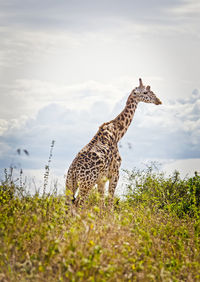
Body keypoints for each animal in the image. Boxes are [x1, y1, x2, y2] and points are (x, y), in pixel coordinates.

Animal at [65, 79, 161, 209]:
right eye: (145, 92)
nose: (158, 101)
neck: (117, 133)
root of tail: (73, 171)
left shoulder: (101, 179)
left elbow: (101, 204)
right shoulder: (115, 173)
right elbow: (110, 203)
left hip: (70, 185)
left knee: (68, 206)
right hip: (87, 185)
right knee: (78, 204)